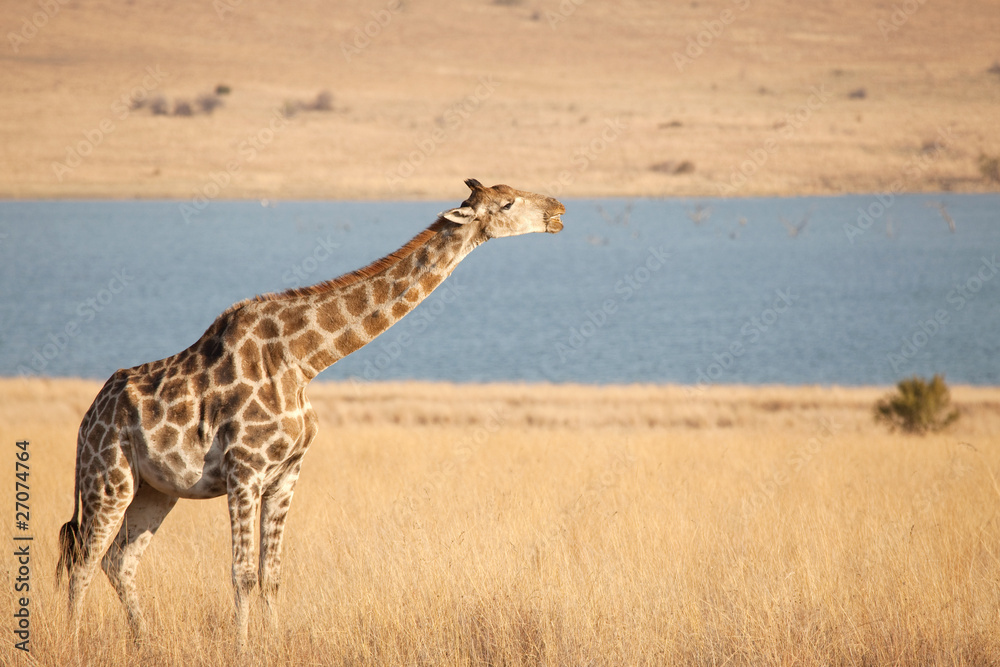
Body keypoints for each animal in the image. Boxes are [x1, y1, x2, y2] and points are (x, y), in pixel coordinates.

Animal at [56, 178, 564, 649]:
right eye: (507, 203)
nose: (558, 210)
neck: (304, 361)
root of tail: (85, 422)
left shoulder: (286, 473)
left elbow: (272, 574)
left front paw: (273, 644)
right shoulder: (245, 471)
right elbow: (243, 573)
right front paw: (243, 650)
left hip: (156, 490)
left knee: (118, 560)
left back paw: (144, 642)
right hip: (109, 479)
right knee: (83, 560)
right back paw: (74, 642)